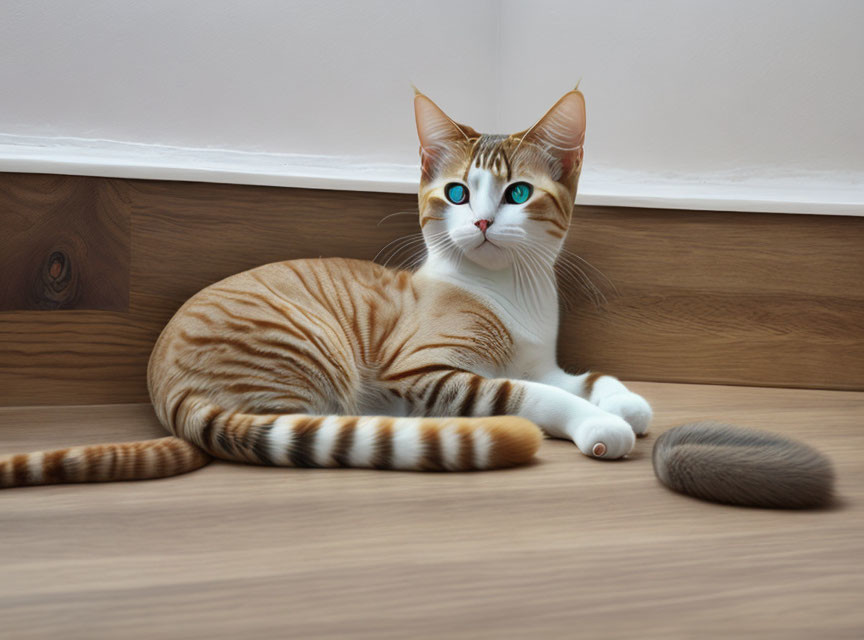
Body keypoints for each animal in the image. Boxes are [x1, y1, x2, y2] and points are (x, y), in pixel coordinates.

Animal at [0, 87, 652, 488]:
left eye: (517, 193)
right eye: (457, 194)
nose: (484, 223)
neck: (512, 292)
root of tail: (168, 390)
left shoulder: (542, 360)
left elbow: (588, 378)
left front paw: (624, 401)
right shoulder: (423, 372)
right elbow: (530, 394)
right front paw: (598, 424)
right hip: (321, 356)